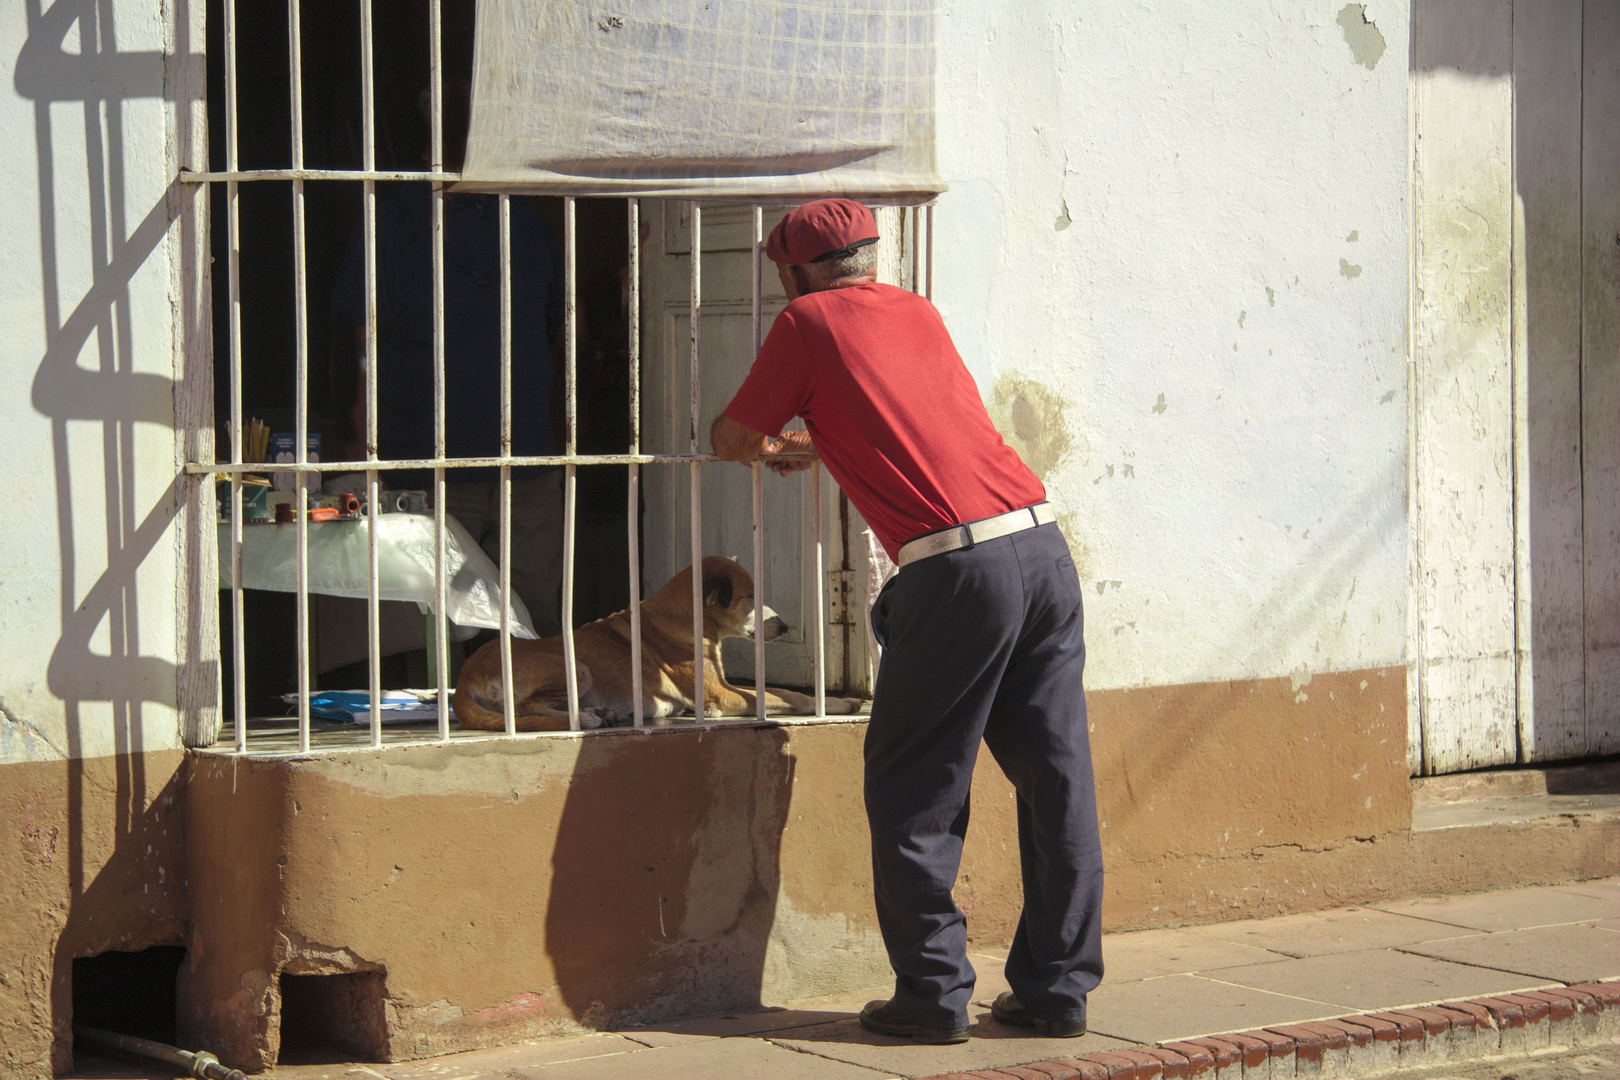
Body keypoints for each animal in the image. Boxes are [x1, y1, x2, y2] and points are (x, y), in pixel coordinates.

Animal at [450, 557, 868, 735]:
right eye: (751, 596)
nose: (784, 627)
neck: (685, 619)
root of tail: (464, 678)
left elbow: (784, 692)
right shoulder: (719, 694)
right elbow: (788, 697)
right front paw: (838, 704)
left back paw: (600, 712)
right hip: (576, 667)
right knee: (524, 708)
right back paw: (587, 718)